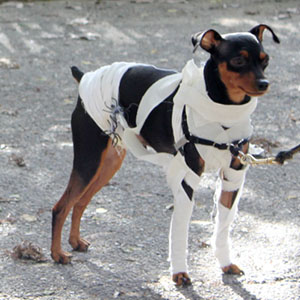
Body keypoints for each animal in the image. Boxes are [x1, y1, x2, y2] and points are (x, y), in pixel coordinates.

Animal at [51, 24, 278, 286]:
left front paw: (226, 263)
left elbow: (223, 226)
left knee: (79, 202)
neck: (222, 111)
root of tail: (86, 76)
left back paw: (75, 242)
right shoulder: (188, 176)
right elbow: (181, 229)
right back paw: (57, 254)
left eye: (265, 60)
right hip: (89, 158)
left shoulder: (233, 175)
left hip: (108, 163)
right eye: (238, 60)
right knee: (61, 206)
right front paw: (180, 273)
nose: (264, 83)